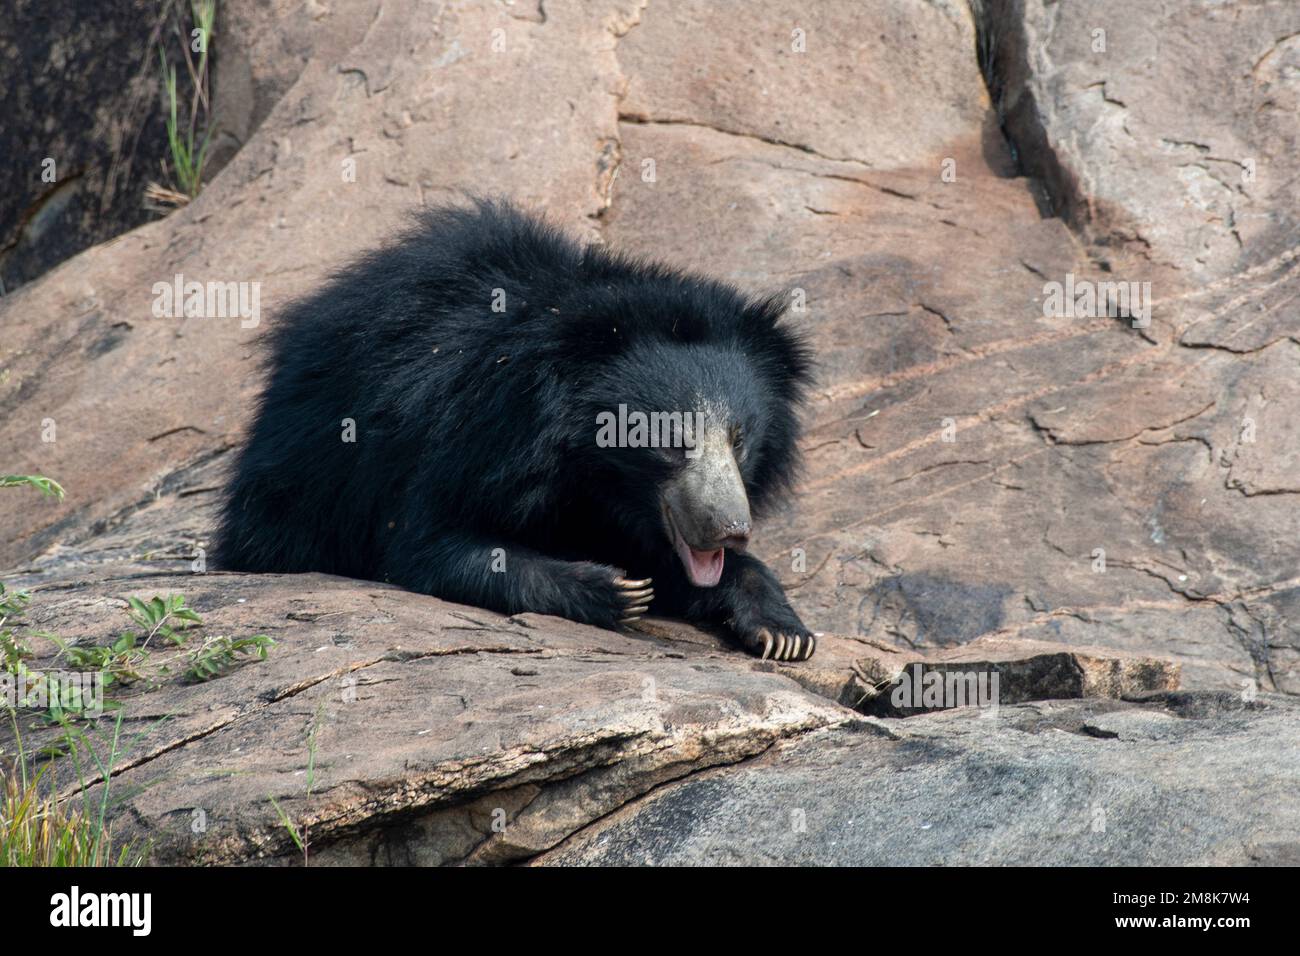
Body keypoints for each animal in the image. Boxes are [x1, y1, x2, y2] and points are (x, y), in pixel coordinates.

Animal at [218, 197, 816, 660]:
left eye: (740, 440)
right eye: (669, 442)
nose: (731, 529)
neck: (592, 475)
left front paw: (783, 631)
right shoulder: (469, 441)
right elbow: (433, 546)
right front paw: (615, 588)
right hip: (308, 468)